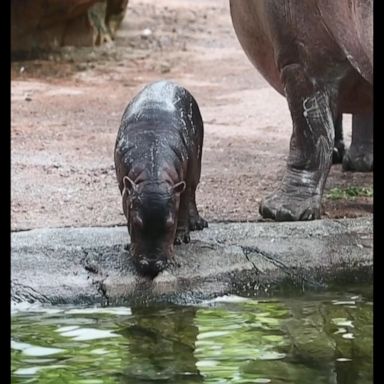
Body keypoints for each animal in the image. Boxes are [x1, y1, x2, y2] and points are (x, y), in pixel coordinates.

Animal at [114, 79, 207, 276]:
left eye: (170, 225)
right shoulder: (124, 187)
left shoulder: (180, 188)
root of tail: (168, 81)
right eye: (136, 223)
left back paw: (198, 224)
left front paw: (180, 238)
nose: (151, 265)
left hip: (196, 164)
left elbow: (183, 207)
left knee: (192, 193)